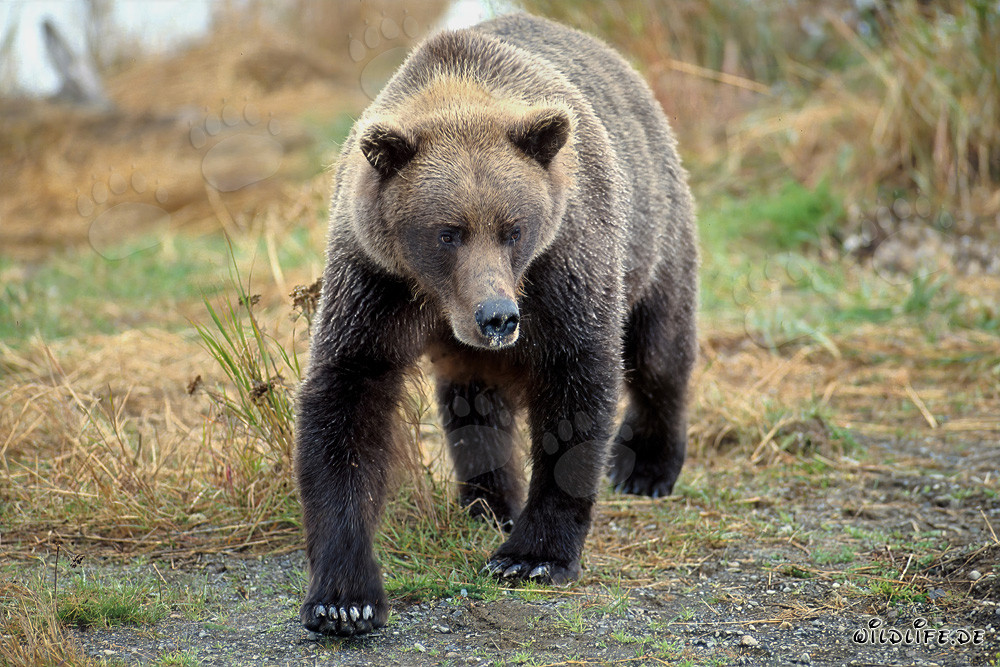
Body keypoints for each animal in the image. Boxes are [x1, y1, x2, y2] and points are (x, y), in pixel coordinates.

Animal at [295, 13, 698, 636]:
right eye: (447, 232)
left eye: (513, 228)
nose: (498, 317)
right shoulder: (374, 280)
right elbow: (347, 396)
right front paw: (344, 600)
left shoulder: (563, 264)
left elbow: (577, 382)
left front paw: (531, 557)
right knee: (474, 399)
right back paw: (488, 502)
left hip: (653, 229)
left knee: (659, 347)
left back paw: (646, 466)